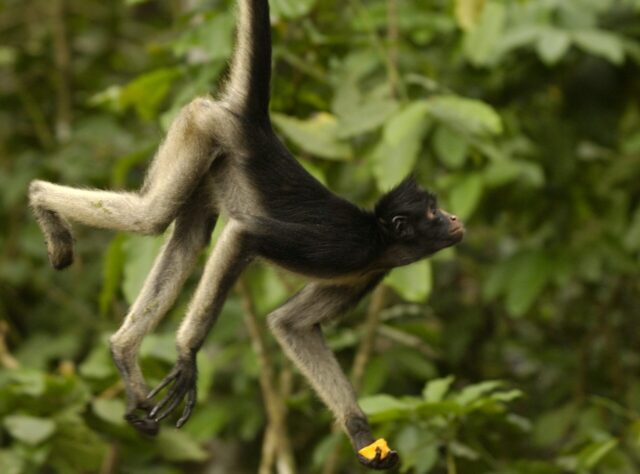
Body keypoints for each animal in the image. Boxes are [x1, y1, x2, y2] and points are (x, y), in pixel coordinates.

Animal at [27, 0, 464, 466]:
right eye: (434, 212)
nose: (455, 219)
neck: (380, 241)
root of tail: (254, 127)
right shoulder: (347, 248)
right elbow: (245, 236)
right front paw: (187, 357)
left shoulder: (367, 271)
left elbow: (291, 325)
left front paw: (362, 436)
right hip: (202, 127)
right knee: (151, 218)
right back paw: (39, 198)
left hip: (209, 157)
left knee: (189, 238)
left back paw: (123, 352)